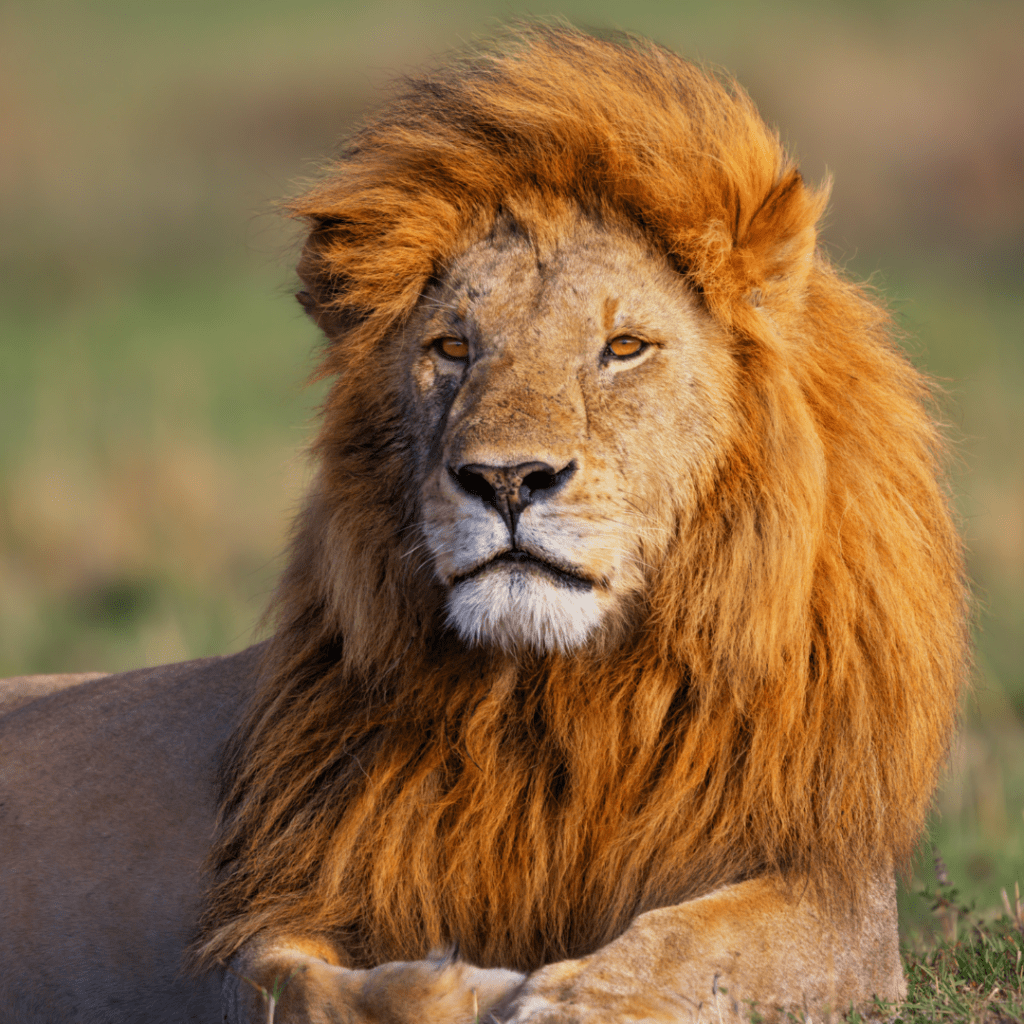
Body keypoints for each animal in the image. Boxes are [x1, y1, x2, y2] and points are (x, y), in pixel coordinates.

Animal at [0, 24, 966, 1024]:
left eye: (624, 347)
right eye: (453, 348)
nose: (506, 480)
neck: (559, 699)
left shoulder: (834, 896)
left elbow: (694, 944)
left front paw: (567, 1000)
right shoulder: (268, 911)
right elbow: (303, 986)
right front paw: (467, 987)